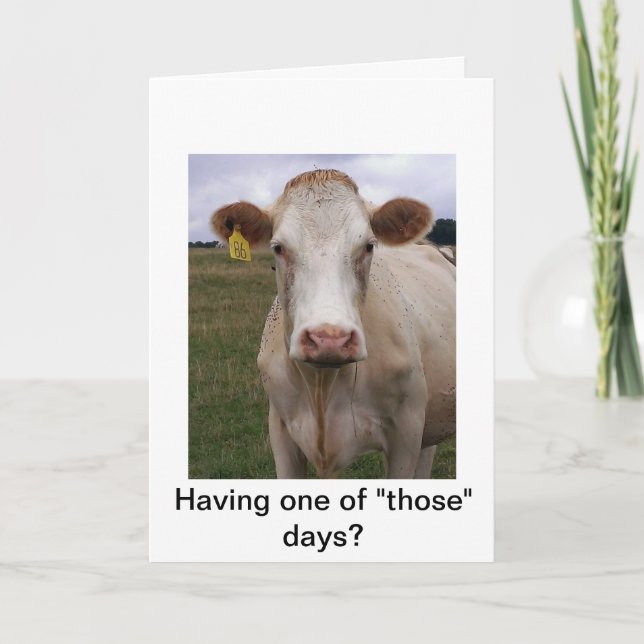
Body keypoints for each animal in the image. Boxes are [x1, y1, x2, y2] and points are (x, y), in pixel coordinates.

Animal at [211, 169, 455, 479]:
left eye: (369, 245)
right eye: (278, 247)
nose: (329, 339)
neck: (322, 386)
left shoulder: (406, 432)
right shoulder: (280, 430)